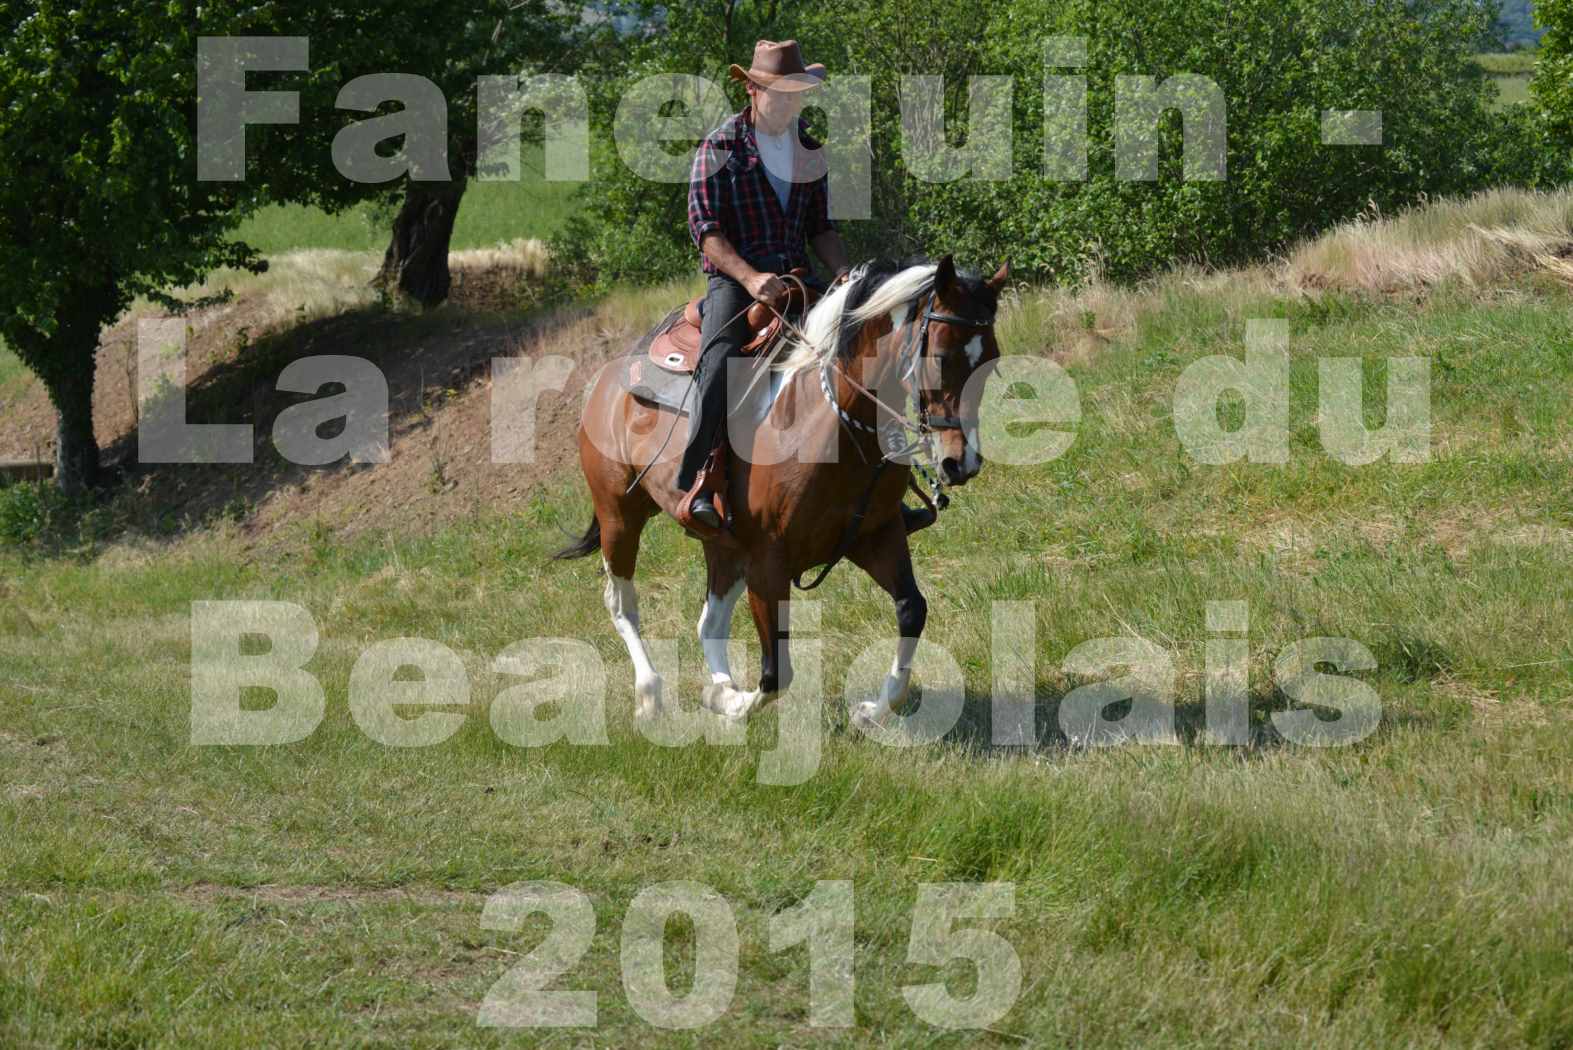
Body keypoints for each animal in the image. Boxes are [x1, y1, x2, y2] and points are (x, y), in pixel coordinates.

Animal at [553, 254, 1006, 729]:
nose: (961, 462)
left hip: (720, 543)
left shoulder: (876, 536)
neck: (826, 422)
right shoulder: (767, 561)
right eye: (941, 356)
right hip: (619, 516)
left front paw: (871, 712)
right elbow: (775, 673)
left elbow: (912, 609)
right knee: (623, 604)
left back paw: (717, 685)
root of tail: (610, 375)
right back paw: (651, 694)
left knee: (709, 623)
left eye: (992, 359)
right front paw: (729, 704)